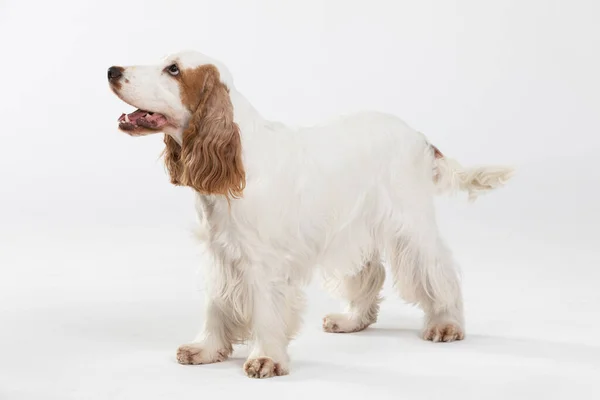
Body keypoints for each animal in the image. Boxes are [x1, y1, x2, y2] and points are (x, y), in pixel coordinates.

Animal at [106, 50, 510, 378]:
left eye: (173, 69)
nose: (111, 70)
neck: (238, 154)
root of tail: (422, 139)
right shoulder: (221, 254)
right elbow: (215, 305)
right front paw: (206, 349)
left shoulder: (261, 263)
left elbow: (265, 312)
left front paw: (267, 359)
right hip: (357, 230)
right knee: (372, 273)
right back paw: (352, 320)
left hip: (409, 224)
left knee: (438, 270)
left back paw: (446, 323)